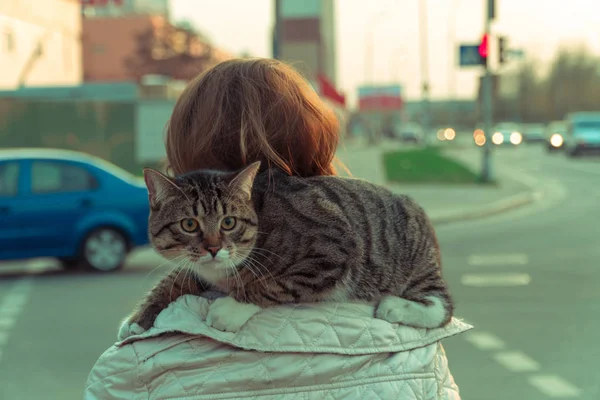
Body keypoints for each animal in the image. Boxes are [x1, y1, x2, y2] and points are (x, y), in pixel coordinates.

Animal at [125, 161, 454, 332]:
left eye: (228, 222)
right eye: (189, 225)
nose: (213, 248)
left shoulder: (333, 250)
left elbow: (271, 285)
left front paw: (231, 307)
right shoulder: (201, 268)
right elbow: (175, 278)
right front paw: (138, 320)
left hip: (410, 261)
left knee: (442, 306)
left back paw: (394, 307)